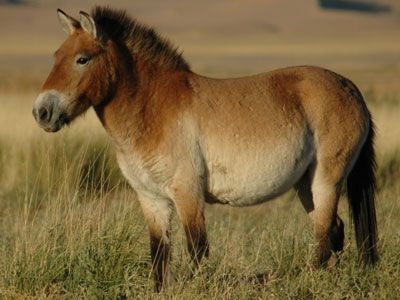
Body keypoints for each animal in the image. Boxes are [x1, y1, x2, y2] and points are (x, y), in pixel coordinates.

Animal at [33, 7, 378, 292]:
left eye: (82, 59)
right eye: (55, 56)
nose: (42, 112)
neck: (152, 109)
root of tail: (350, 88)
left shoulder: (187, 192)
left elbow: (197, 249)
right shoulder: (151, 198)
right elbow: (159, 254)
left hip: (326, 180)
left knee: (324, 235)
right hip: (305, 184)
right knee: (334, 230)